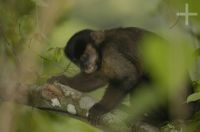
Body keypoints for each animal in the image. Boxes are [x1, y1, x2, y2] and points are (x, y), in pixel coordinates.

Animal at [47, 27, 199, 125]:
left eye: (84, 57)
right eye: (77, 61)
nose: (84, 67)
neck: (102, 46)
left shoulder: (111, 53)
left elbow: (128, 77)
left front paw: (102, 107)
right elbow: (97, 78)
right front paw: (64, 80)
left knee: (141, 81)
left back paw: (158, 119)